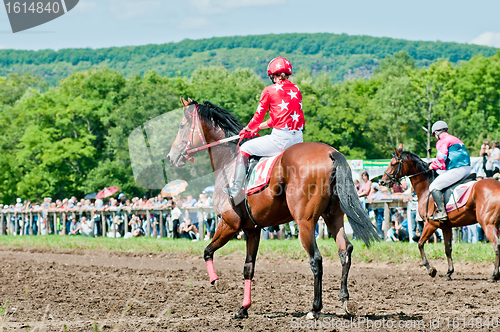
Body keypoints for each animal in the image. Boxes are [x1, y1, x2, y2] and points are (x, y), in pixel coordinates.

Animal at [168, 98, 378, 320]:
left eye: (181, 126)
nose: (171, 156)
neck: (229, 161)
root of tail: (331, 152)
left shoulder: (229, 224)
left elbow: (207, 251)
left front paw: (217, 282)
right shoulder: (252, 230)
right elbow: (248, 268)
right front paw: (243, 308)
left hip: (305, 222)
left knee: (316, 260)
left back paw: (314, 308)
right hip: (333, 217)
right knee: (345, 250)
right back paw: (345, 301)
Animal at [380, 145, 500, 280]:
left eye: (393, 163)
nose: (382, 182)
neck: (426, 189)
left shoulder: (430, 224)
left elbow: (420, 243)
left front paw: (430, 269)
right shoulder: (446, 227)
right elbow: (448, 249)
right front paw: (449, 273)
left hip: (487, 224)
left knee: (496, 245)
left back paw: (494, 275)